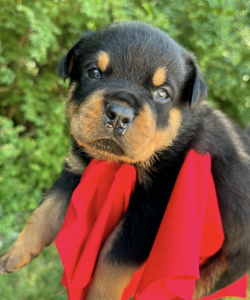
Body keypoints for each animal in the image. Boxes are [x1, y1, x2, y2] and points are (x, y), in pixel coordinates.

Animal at [0, 21, 250, 300]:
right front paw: (14, 254)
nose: (119, 114)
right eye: (94, 72)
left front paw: (99, 296)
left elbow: (112, 262)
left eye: (162, 93)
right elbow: (45, 212)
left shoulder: (151, 208)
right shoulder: (75, 170)